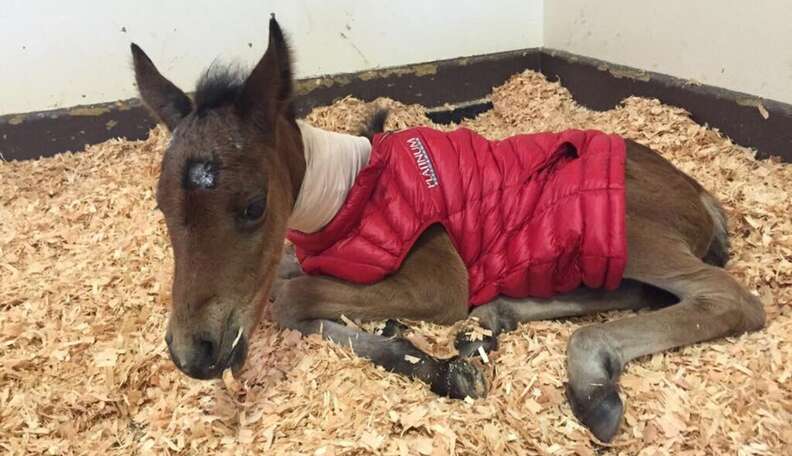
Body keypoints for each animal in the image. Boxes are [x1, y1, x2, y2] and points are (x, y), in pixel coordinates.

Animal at [131, 18, 768, 442]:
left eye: (253, 206)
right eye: (161, 206)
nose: (193, 354)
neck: (347, 193)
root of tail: (702, 193)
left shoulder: (439, 279)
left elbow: (291, 297)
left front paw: (432, 363)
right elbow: (287, 279)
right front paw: (427, 354)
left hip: (627, 229)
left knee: (727, 298)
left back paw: (590, 381)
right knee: (639, 293)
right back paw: (503, 316)